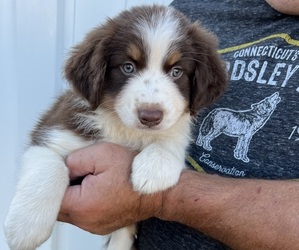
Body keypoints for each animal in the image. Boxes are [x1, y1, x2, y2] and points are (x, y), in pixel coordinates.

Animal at [4, 4, 226, 250]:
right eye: (128, 67)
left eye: (176, 71)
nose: (150, 117)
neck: (123, 128)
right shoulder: (53, 131)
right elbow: (49, 167)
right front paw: (26, 227)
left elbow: (173, 135)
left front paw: (155, 167)